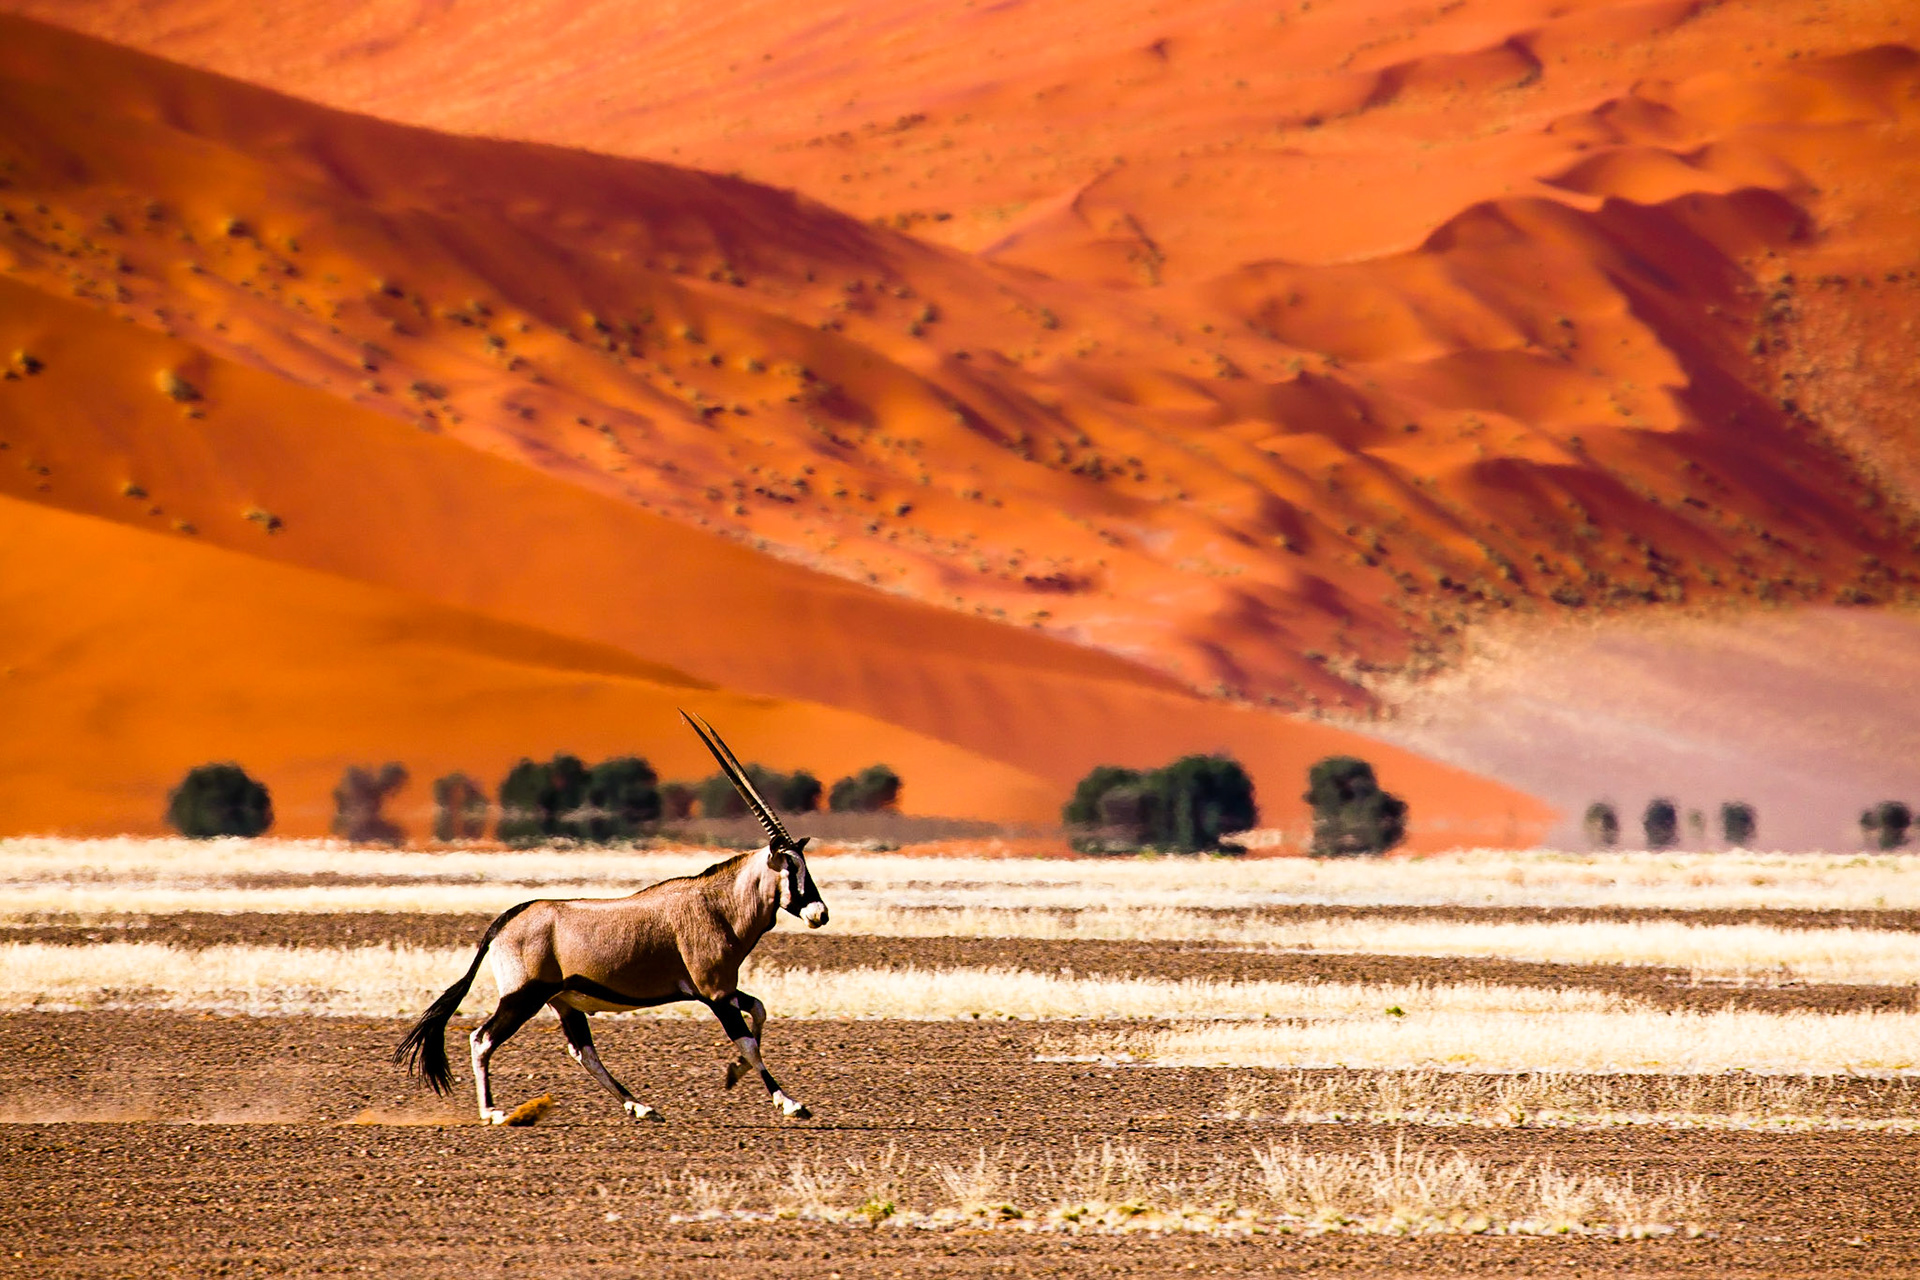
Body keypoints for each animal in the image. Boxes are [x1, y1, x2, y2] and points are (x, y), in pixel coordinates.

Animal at [393, 711, 829, 1123]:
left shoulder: (721, 989)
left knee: (583, 1052)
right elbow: (748, 1042)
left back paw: (641, 1107)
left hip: (563, 1003)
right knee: (482, 1039)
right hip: (523, 998)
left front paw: (734, 1072)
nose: (819, 913)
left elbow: (759, 1010)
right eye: (790, 867)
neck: (719, 905)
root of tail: (505, 920)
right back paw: (493, 1112)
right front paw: (789, 1103)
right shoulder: (714, 993)